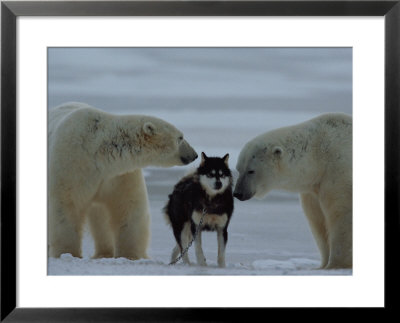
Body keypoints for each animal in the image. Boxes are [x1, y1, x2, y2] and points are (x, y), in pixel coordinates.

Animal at [48, 104, 198, 260]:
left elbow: (129, 205)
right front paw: (67, 253)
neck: (99, 149)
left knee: (101, 217)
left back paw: (104, 253)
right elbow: (66, 206)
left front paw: (130, 255)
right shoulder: (72, 164)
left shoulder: (119, 175)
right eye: (180, 137)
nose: (194, 155)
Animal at [233, 112, 352, 270]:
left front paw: (336, 264)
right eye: (239, 169)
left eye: (251, 170)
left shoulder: (339, 171)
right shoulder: (314, 186)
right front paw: (321, 266)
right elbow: (317, 220)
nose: (238, 193)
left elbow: (343, 212)